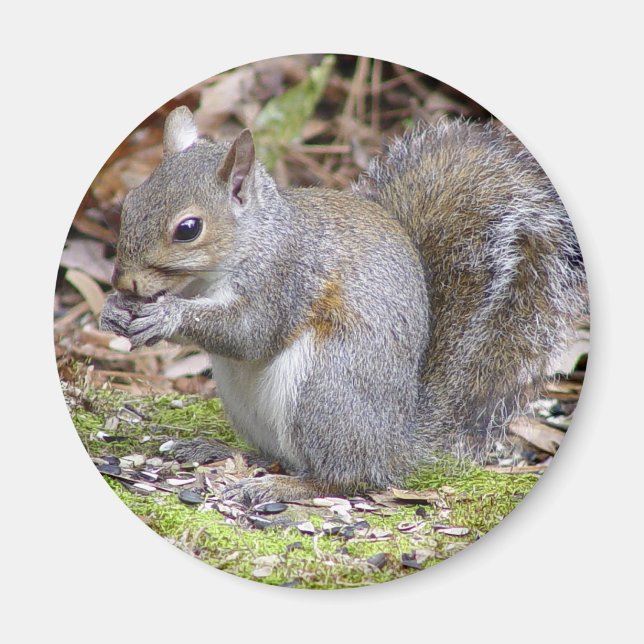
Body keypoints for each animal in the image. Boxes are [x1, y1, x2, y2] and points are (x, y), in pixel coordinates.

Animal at [100, 106, 588, 505]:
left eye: (188, 228)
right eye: (132, 201)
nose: (124, 280)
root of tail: (395, 443)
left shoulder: (286, 277)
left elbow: (250, 332)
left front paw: (167, 316)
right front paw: (114, 309)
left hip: (325, 389)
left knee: (343, 479)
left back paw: (281, 487)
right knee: (276, 454)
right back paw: (218, 450)